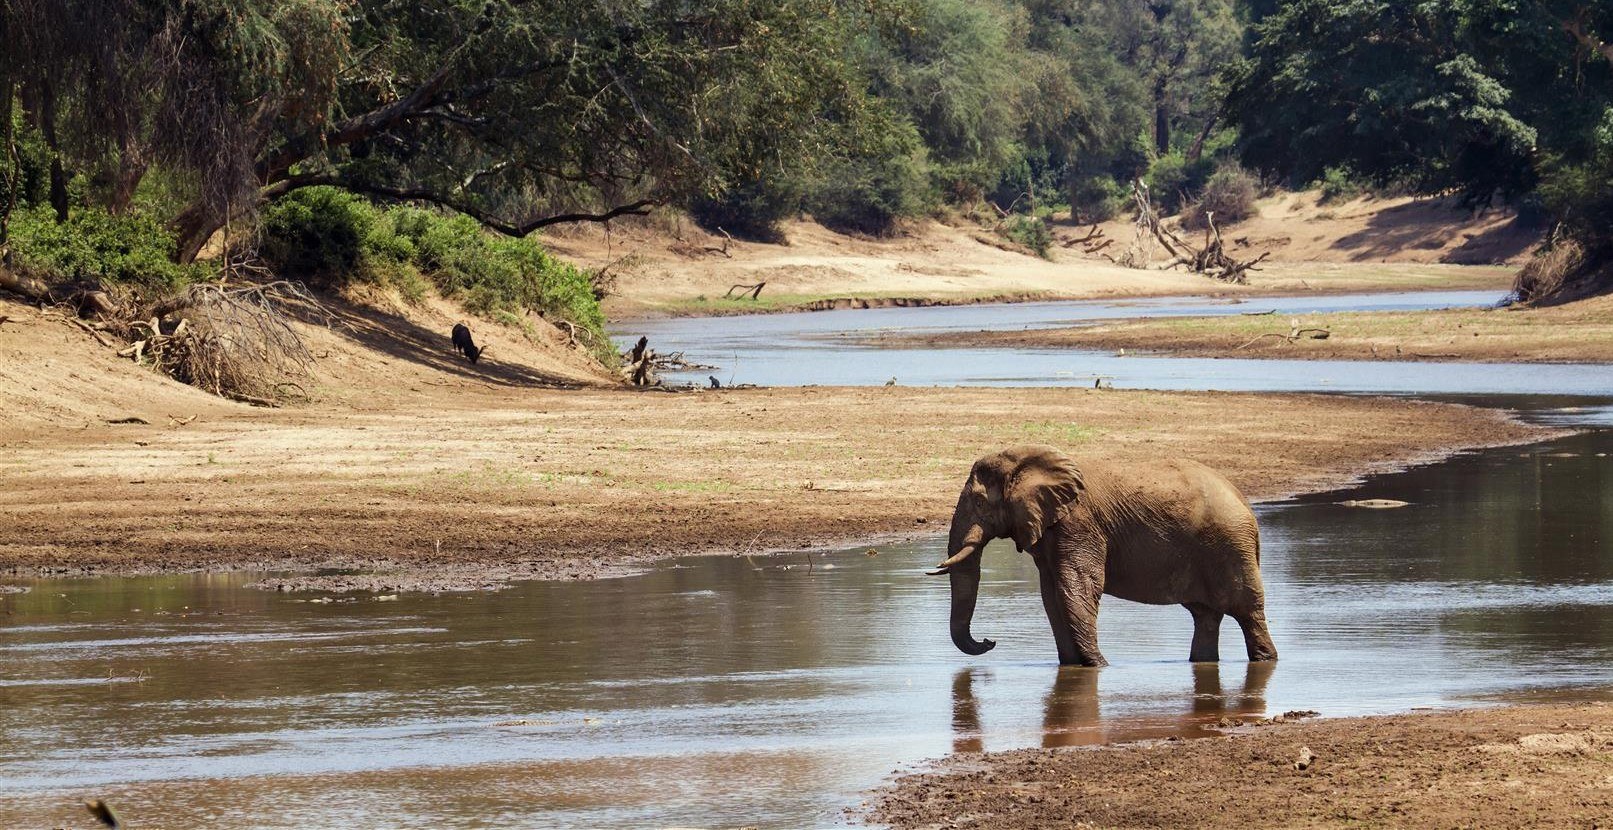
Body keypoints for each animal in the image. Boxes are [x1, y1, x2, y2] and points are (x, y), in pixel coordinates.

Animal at [929, 441, 1277, 670]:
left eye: (979, 503)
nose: (990, 641)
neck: (1026, 461)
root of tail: (1245, 503)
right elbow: (1051, 596)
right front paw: (1074, 666)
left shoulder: (1079, 523)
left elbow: (1077, 587)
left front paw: (1098, 666)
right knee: (1206, 616)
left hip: (1230, 545)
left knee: (1247, 611)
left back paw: (1265, 661)